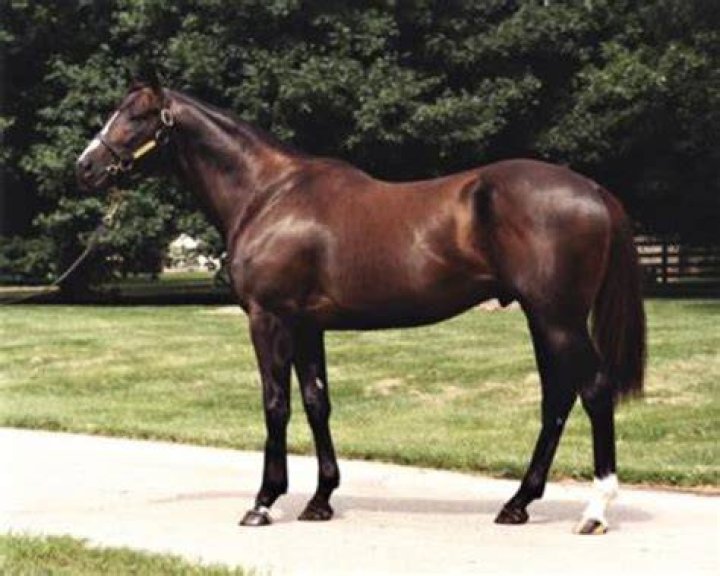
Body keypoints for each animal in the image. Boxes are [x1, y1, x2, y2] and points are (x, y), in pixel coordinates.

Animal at [76, 78, 646, 535]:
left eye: (137, 115)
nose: (86, 166)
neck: (267, 194)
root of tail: (594, 189)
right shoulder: (307, 326)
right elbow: (316, 402)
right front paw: (320, 500)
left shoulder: (269, 318)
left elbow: (275, 403)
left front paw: (263, 503)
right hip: (542, 318)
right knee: (556, 399)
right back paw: (517, 503)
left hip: (557, 319)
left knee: (593, 391)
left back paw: (594, 511)